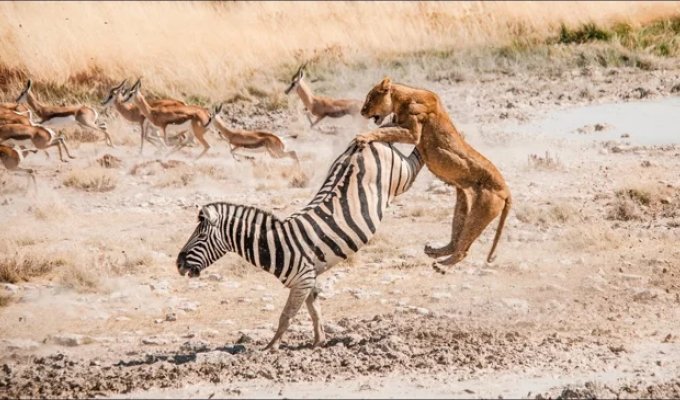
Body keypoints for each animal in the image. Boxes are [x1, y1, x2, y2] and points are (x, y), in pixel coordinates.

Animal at [177, 139, 423, 351]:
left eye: (200, 237)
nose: (178, 264)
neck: (275, 243)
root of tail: (366, 141)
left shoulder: (302, 279)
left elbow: (286, 316)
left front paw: (271, 347)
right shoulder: (309, 280)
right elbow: (315, 312)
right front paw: (318, 342)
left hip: (401, 175)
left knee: (417, 154)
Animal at [355, 77, 512, 270]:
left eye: (370, 98)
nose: (362, 111)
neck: (402, 99)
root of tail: (506, 190)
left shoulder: (413, 133)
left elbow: (385, 130)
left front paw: (363, 137)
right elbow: (387, 127)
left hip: (481, 211)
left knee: (463, 249)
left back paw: (443, 266)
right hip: (463, 203)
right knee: (457, 238)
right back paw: (436, 251)